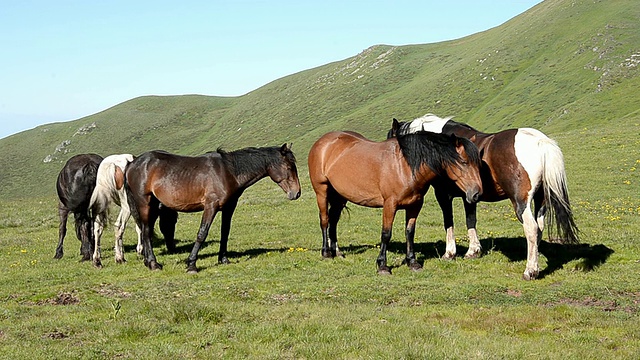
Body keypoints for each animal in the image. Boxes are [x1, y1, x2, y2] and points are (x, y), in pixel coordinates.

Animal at [128, 145, 304, 272]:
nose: (296, 193)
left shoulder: (228, 208)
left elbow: (225, 232)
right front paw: (191, 265)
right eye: (289, 167)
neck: (229, 172)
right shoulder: (210, 206)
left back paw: (148, 262)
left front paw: (223, 259)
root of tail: (133, 163)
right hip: (145, 203)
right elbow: (202, 233)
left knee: (145, 231)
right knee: (146, 232)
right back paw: (154, 264)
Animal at [308, 128, 482, 274]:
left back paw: (337, 252)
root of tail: (322, 142)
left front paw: (412, 262)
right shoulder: (389, 205)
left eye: (477, 163)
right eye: (464, 162)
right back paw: (326, 253)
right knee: (325, 220)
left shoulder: (415, 205)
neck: (405, 166)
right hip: (322, 191)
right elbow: (386, 234)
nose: (476, 193)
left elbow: (410, 232)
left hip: (340, 196)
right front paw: (382, 265)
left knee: (333, 221)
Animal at [390, 114, 580, 280]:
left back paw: (530, 271)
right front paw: (473, 251)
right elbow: (471, 220)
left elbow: (448, 222)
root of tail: (541, 142)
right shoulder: (469, 196)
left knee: (532, 229)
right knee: (539, 228)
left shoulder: (444, 195)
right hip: (541, 200)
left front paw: (449, 253)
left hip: (521, 203)